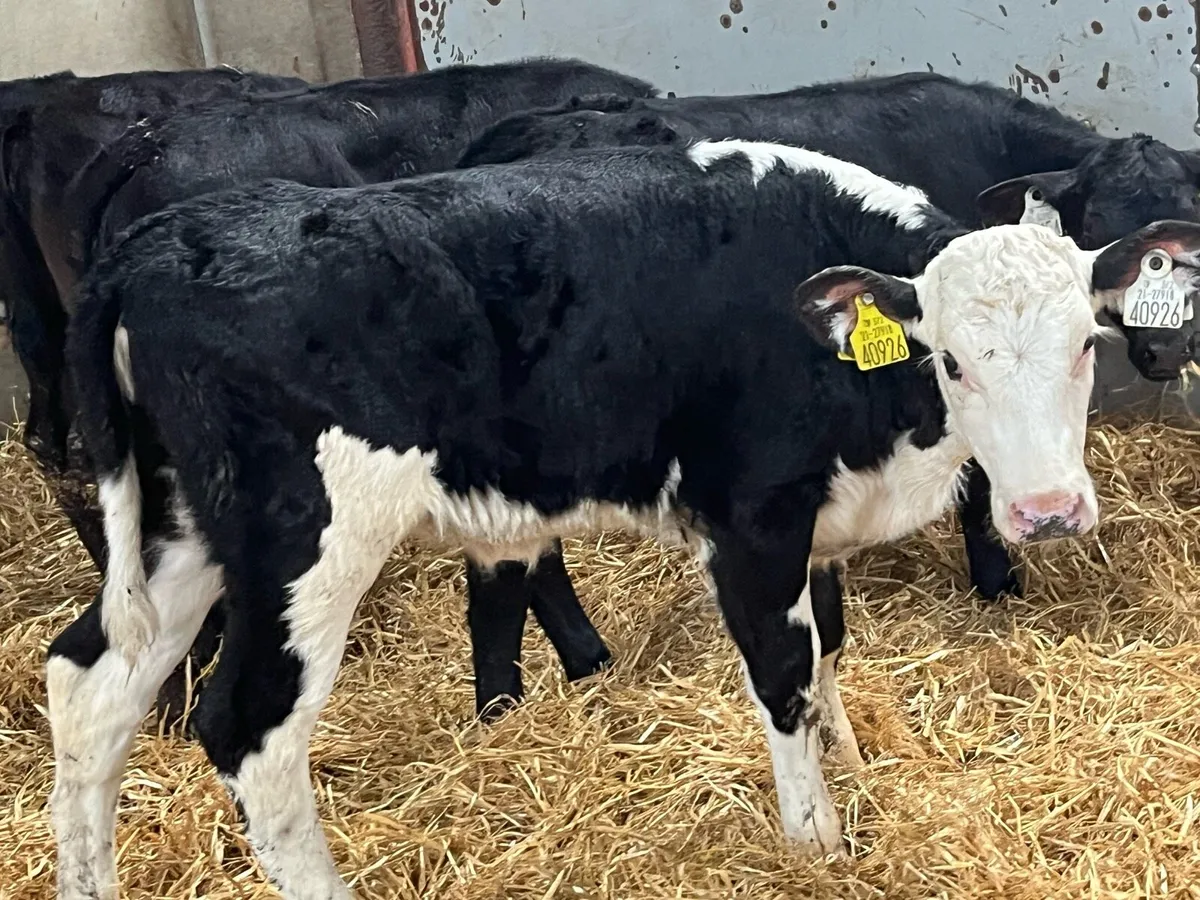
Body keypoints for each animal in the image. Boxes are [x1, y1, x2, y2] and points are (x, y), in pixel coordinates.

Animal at [49, 139, 1200, 896]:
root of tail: (165, 238)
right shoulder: (752, 519)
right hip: (306, 543)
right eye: (952, 360)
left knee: (89, 686)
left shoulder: (817, 522)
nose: (1048, 512)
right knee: (250, 729)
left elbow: (831, 650)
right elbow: (786, 676)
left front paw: (856, 771)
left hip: (183, 534)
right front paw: (816, 845)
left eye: (1085, 344)